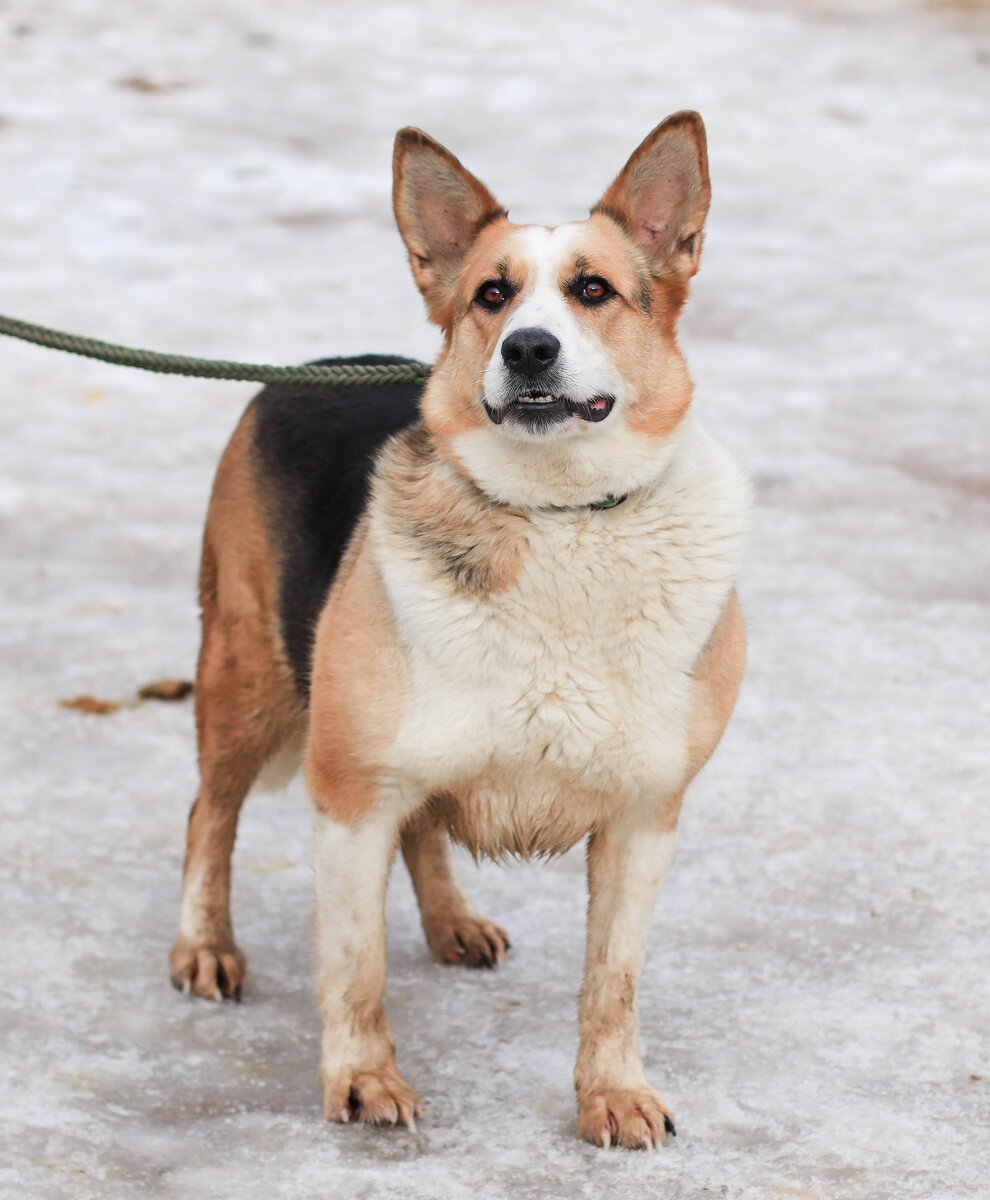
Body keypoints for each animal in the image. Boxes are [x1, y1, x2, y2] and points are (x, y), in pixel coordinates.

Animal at [168, 114, 748, 1152]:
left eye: (593, 290)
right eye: (492, 295)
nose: (527, 349)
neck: (560, 518)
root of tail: (309, 370)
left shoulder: (644, 815)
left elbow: (613, 983)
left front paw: (612, 1094)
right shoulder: (351, 793)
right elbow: (356, 970)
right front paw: (363, 1083)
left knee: (422, 836)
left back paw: (452, 923)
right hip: (247, 676)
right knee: (211, 815)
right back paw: (204, 946)